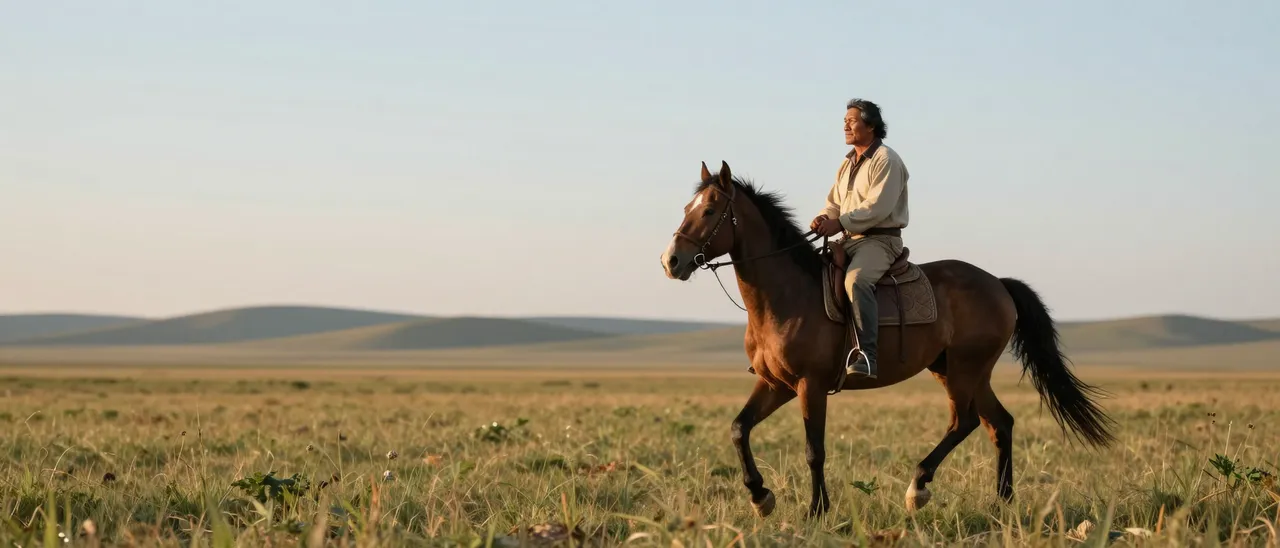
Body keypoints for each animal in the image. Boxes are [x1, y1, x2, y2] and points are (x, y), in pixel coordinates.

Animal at [659, 161, 1116, 518]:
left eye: (711, 209)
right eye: (686, 208)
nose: (671, 261)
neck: (786, 296)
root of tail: (998, 284)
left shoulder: (811, 386)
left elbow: (813, 449)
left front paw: (816, 511)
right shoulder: (776, 385)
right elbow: (739, 429)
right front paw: (760, 497)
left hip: (965, 370)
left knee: (965, 421)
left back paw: (918, 489)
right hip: (959, 370)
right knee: (999, 424)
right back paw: (1001, 503)